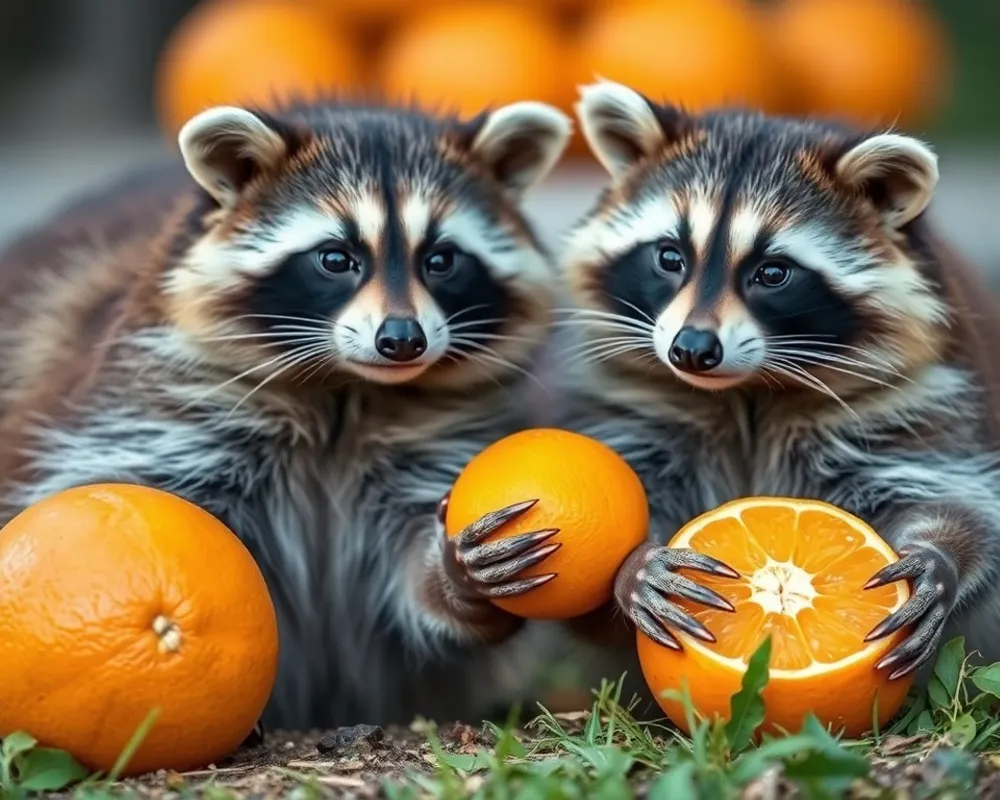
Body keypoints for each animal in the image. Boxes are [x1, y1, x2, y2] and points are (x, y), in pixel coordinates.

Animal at [0, 98, 573, 729]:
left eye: (441, 260)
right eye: (336, 259)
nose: (403, 340)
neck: (345, 392)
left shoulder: (448, 429)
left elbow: (413, 580)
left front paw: (452, 576)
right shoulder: (162, 403)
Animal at [553, 79, 1000, 695]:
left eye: (771, 273)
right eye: (669, 256)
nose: (692, 349)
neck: (747, 389)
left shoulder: (919, 399)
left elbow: (959, 501)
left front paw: (939, 555)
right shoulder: (635, 405)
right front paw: (634, 563)